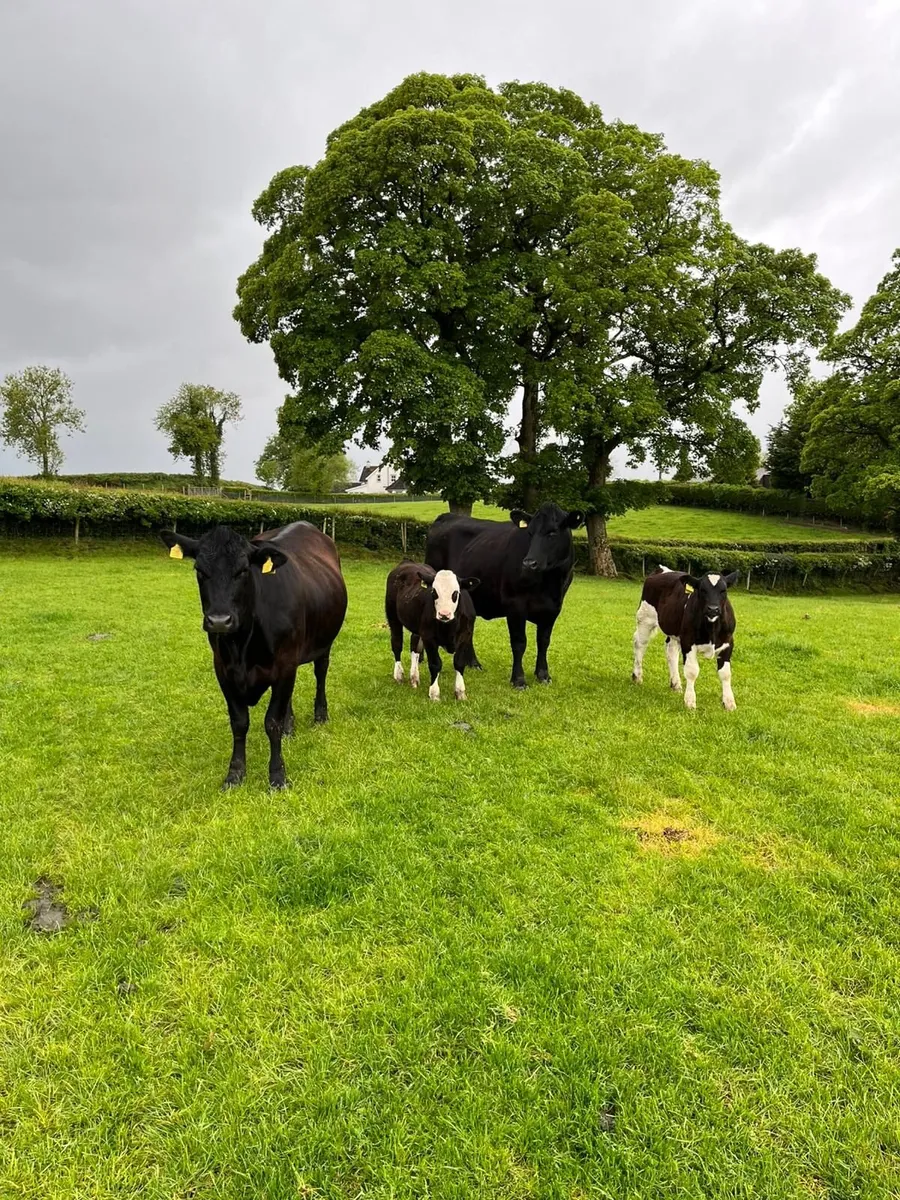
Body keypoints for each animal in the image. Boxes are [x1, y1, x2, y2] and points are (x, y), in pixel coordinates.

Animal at [160, 521, 347, 789]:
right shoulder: (223, 670)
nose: (219, 621)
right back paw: (291, 727)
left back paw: (320, 715)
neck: (242, 646)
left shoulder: (285, 664)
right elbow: (239, 723)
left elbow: (272, 722)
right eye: (199, 570)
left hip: (323, 642)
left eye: (243, 570)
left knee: (320, 673)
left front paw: (277, 776)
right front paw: (235, 773)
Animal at [384, 561, 479, 701]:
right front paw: (434, 693)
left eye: (455, 593)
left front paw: (460, 692)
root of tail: (407, 562)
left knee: (415, 648)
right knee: (397, 643)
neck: (448, 627)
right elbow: (435, 664)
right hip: (392, 615)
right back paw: (399, 675)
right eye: (434, 592)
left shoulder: (465, 635)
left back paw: (414, 678)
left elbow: (459, 663)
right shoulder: (429, 637)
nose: (444, 614)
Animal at [425, 502, 584, 689]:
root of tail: (446, 517)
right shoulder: (515, 605)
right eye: (530, 533)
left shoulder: (553, 608)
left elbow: (544, 641)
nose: (529, 563)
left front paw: (543, 675)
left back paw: (473, 663)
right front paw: (519, 680)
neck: (549, 584)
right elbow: (519, 642)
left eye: (552, 533)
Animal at [632, 566, 739, 710]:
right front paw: (690, 701)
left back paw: (676, 684)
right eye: (702, 589)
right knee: (640, 644)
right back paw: (637, 677)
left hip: (673, 630)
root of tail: (662, 569)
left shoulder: (728, 643)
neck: (712, 628)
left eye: (724, 590)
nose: (713, 609)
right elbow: (692, 671)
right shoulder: (688, 642)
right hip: (645, 618)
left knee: (671, 652)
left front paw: (729, 703)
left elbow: (726, 674)